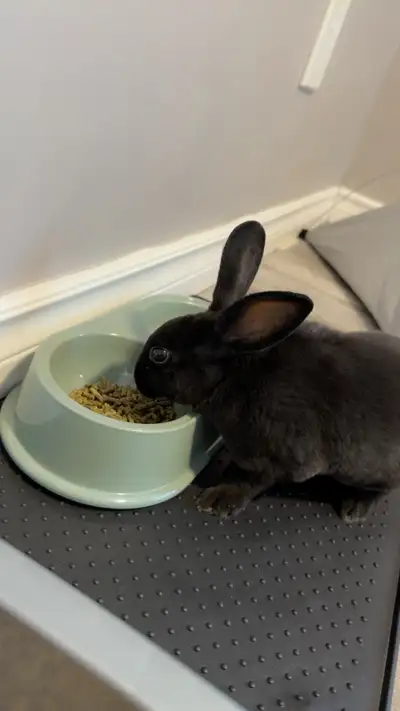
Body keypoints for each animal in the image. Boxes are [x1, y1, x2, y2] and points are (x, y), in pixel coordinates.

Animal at [134, 220, 400, 523]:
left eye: (159, 354)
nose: (138, 380)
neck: (233, 374)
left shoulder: (281, 461)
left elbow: (251, 480)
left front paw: (217, 500)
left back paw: (355, 508)